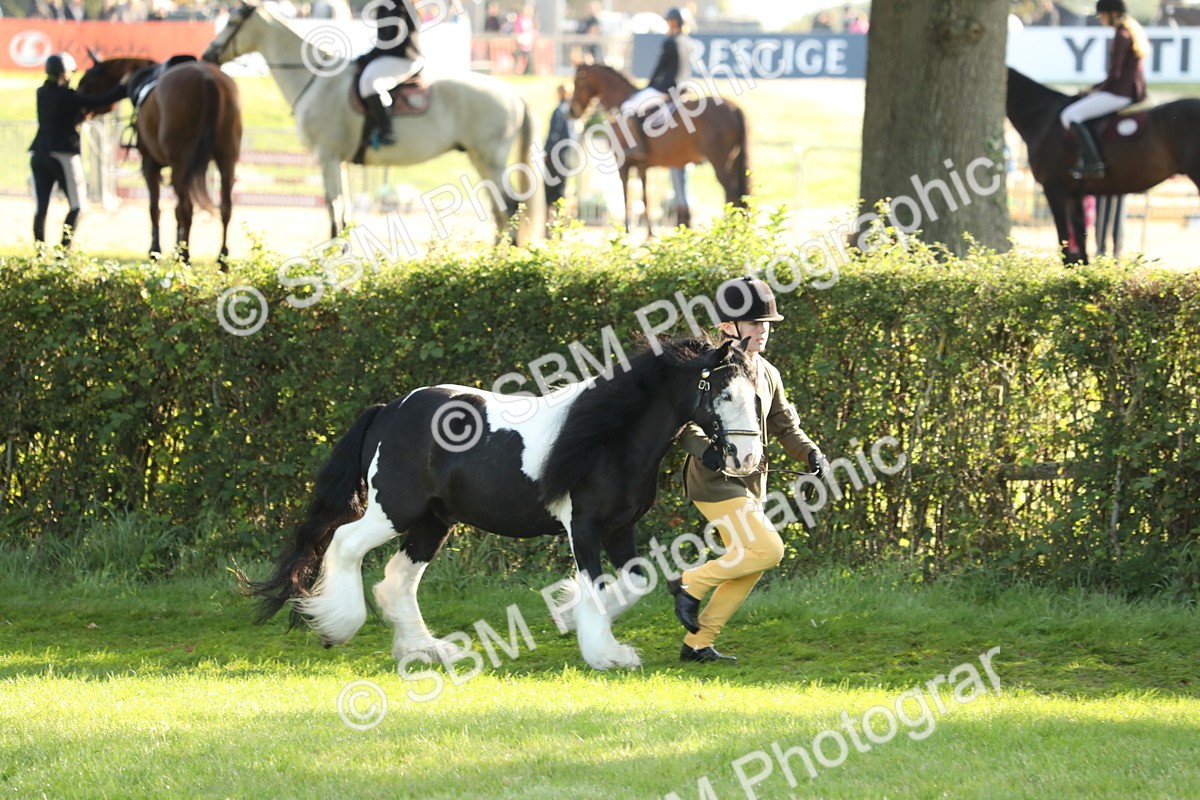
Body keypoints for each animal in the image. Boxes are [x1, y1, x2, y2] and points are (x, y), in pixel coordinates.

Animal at [77, 55, 242, 266]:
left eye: (88, 80)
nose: (80, 109)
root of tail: (207, 81)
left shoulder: (150, 164)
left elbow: (155, 208)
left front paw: (155, 251)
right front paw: (176, 247)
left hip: (182, 163)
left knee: (186, 208)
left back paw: (185, 256)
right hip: (226, 159)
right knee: (225, 208)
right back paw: (222, 259)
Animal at [202, 1, 539, 245]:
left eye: (231, 22)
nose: (207, 56)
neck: (316, 80)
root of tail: (513, 93)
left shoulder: (327, 157)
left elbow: (333, 209)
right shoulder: (339, 161)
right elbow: (344, 211)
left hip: (490, 159)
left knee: (509, 207)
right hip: (479, 159)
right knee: (499, 210)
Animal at [245, 336, 762, 671]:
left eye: (756, 393)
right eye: (722, 392)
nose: (746, 457)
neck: (610, 440)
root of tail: (388, 411)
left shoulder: (620, 529)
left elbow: (635, 582)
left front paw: (569, 616)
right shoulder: (584, 528)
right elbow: (597, 586)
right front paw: (606, 654)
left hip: (433, 522)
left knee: (396, 581)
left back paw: (425, 651)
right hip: (394, 510)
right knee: (344, 544)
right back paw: (337, 626)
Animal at [569, 62, 749, 236]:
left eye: (578, 82)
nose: (572, 111)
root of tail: (733, 107)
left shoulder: (623, 163)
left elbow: (626, 194)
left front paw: (626, 229)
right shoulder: (642, 166)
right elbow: (645, 197)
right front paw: (650, 231)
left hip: (719, 161)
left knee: (731, 192)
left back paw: (729, 229)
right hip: (733, 161)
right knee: (739, 194)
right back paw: (738, 229)